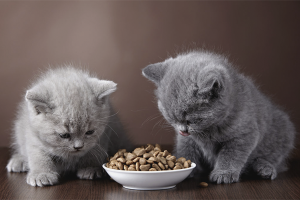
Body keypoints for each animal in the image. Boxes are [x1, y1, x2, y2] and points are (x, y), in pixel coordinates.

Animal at [142, 50, 296, 184]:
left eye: (190, 120)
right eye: (171, 118)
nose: (182, 130)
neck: (207, 132)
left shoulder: (244, 135)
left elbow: (231, 155)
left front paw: (224, 173)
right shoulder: (187, 140)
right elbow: (185, 150)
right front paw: (185, 167)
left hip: (284, 132)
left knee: (275, 159)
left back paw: (264, 169)